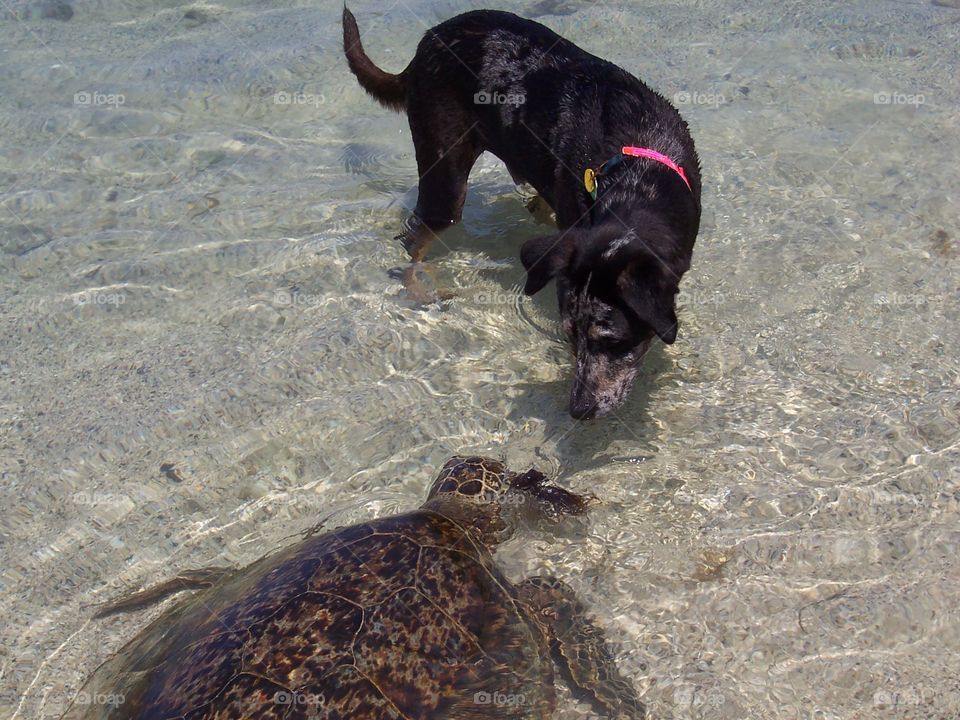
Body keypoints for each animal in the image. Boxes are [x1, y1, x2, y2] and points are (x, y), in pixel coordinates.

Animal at [342, 5, 700, 420]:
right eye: (569, 336)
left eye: (612, 341)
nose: (578, 410)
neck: (636, 173)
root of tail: (425, 45)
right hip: (445, 178)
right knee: (413, 237)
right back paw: (420, 288)